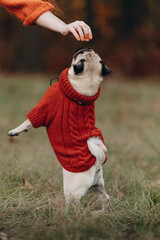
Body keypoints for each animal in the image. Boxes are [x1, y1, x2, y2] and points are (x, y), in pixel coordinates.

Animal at [8, 48, 111, 210]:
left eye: (79, 53)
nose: (86, 47)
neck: (83, 90)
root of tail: (97, 163)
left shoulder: (42, 110)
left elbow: (27, 122)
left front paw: (14, 131)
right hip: (98, 185)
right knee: (105, 198)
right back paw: (101, 212)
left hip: (72, 192)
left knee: (76, 206)